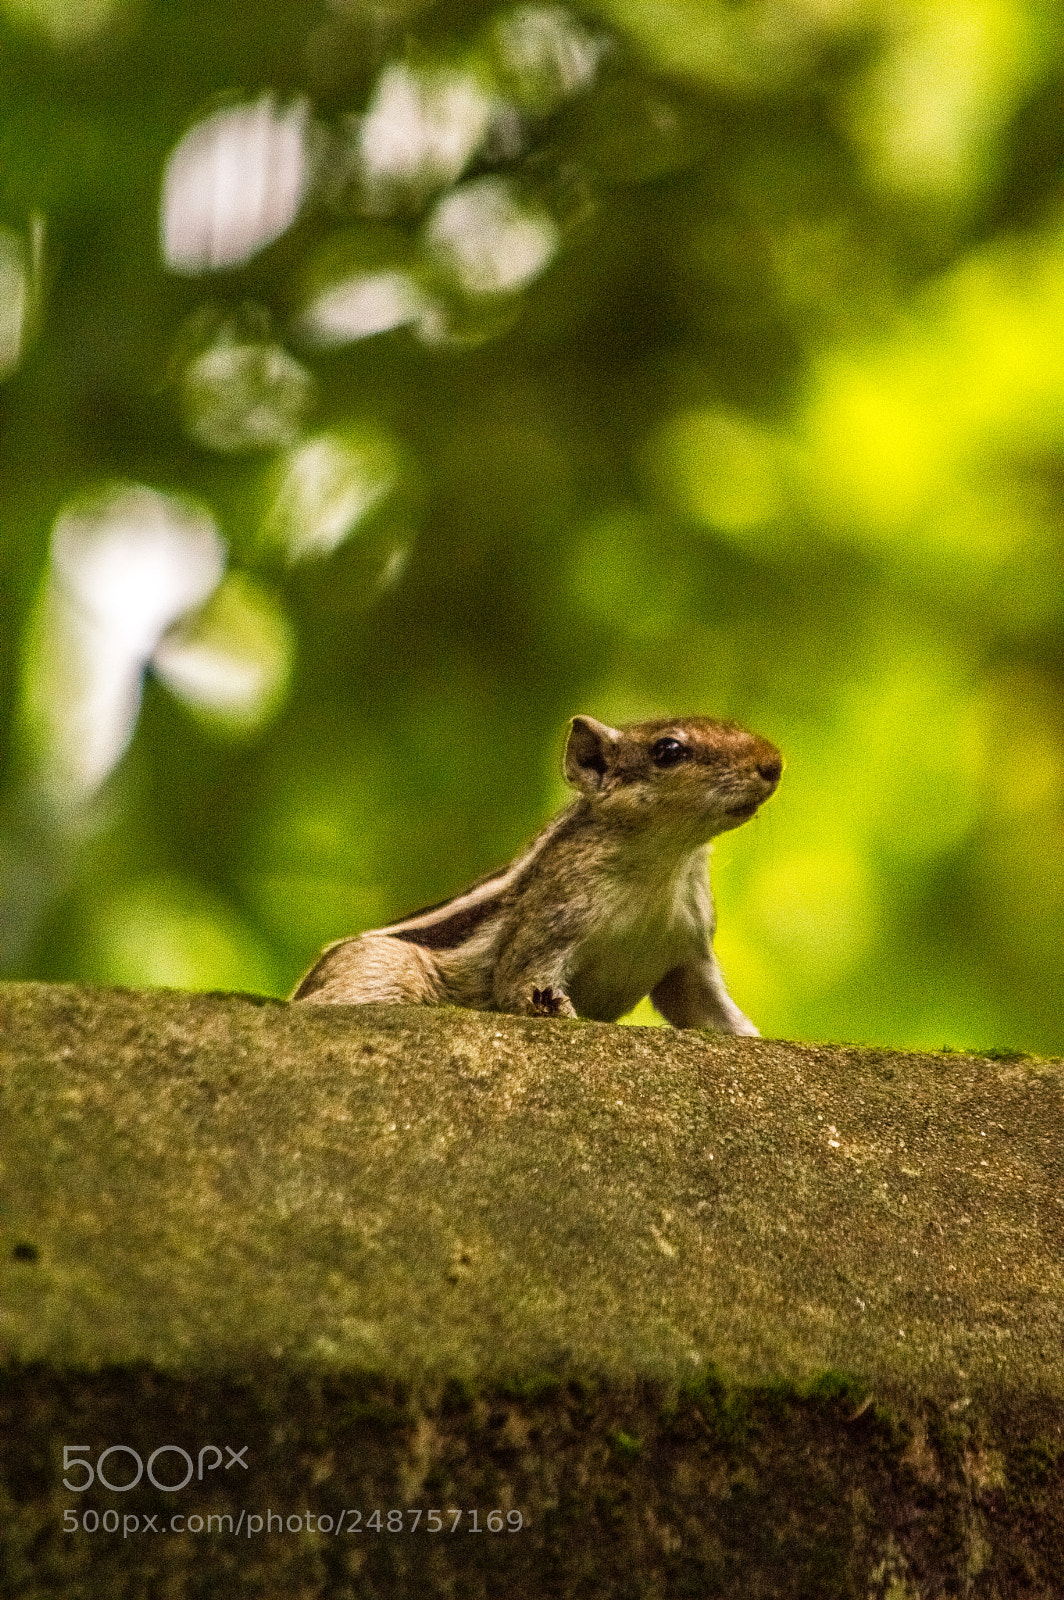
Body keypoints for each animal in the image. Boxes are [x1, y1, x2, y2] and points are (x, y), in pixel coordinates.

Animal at [291, 714, 782, 1032]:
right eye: (668, 750)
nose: (774, 763)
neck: (667, 861)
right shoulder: (549, 926)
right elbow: (520, 986)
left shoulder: (688, 955)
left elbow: (710, 1013)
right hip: (383, 971)